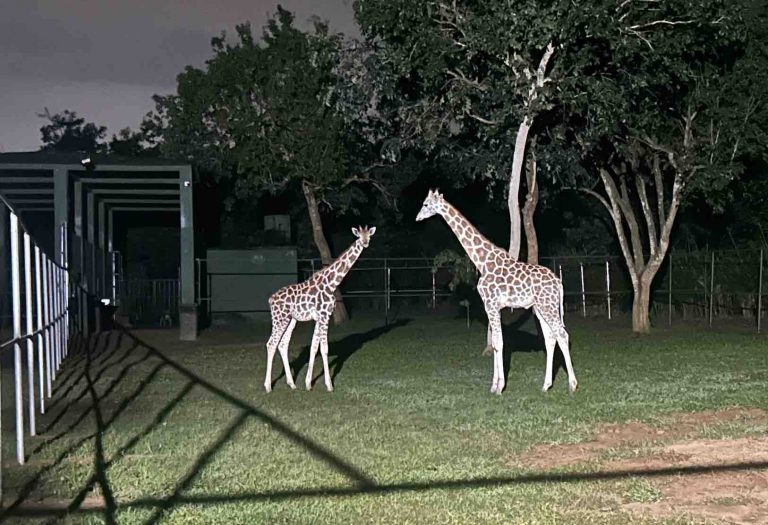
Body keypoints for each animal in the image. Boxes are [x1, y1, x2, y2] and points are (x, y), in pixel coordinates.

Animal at [264, 225, 376, 393]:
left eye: (369, 235)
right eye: (358, 236)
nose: (365, 243)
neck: (332, 283)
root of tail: (271, 299)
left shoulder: (320, 317)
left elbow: (314, 347)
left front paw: (308, 383)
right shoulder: (324, 316)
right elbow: (324, 349)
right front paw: (329, 385)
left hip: (290, 320)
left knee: (283, 344)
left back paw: (292, 384)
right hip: (280, 318)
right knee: (271, 344)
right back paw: (268, 386)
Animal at [416, 189, 577, 394]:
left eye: (426, 204)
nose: (417, 217)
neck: (482, 261)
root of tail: (558, 282)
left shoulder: (492, 304)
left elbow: (499, 343)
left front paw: (499, 387)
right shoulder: (491, 306)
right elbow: (495, 342)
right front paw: (494, 385)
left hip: (548, 306)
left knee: (563, 335)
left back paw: (572, 385)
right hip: (540, 307)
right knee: (550, 338)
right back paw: (546, 385)